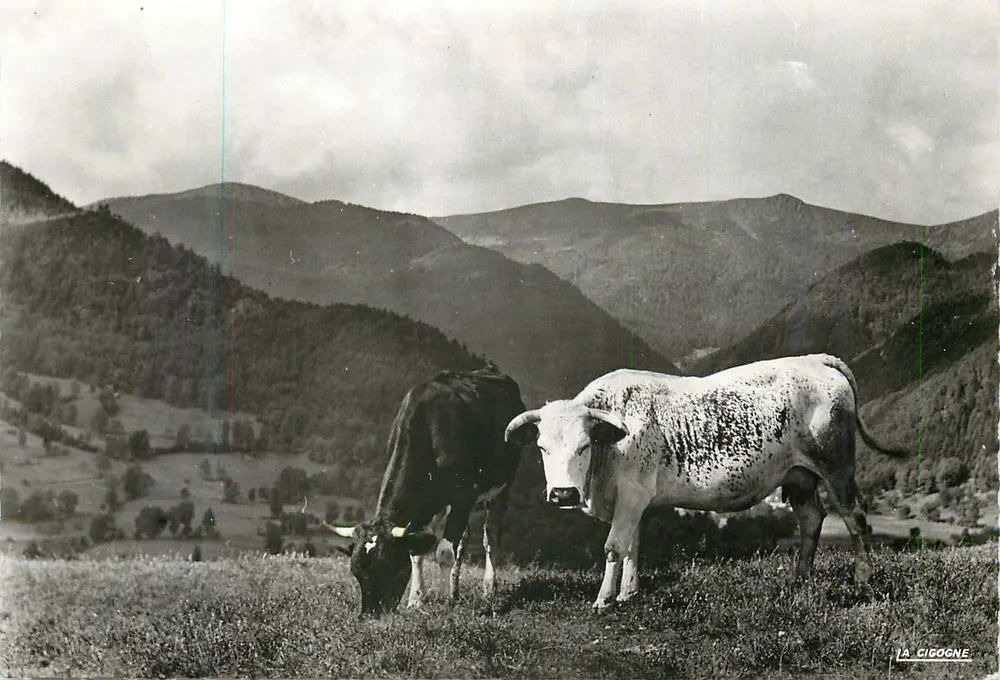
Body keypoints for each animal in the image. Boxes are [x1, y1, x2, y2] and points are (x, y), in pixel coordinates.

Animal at [329, 363, 527, 617]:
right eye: (356, 572)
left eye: (387, 567)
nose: (370, 615)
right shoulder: (425, 505)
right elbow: (417, 554)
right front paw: (416, 600)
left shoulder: (463, 495)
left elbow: (444, 552)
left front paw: (443, 601)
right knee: (463, 541)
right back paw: (455, 590)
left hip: (502, 486)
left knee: (489, 537)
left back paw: (488, 589)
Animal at [503, 354, 909, 611]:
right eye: (541, 447)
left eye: (584, 445)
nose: (563, 493)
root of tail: (815, 360)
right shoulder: (633, 500)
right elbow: (634, 546)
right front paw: (628, 594)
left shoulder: (631, 494)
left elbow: (615, 547)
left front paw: (604, 600)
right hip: (799, 475)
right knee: (811, 518)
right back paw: (799, 579)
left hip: (837, 467)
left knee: (856, 519)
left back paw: (862, 582)